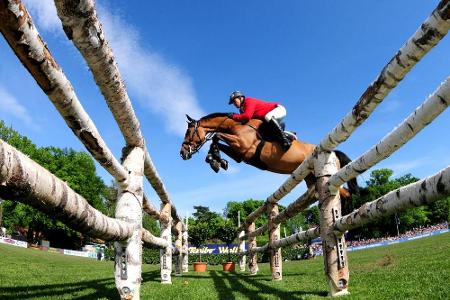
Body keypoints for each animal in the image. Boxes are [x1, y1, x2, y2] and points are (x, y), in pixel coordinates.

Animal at [179, 113, 358, 200]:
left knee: (344, 193)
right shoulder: (240, 155)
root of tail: (333, 152)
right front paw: (217, 161)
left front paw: (216, 160)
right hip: (311, 178)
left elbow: (216, 136)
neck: (237, 126)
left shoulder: (245, 147)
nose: (182, 153)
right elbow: (216, 142)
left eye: (188, 132)